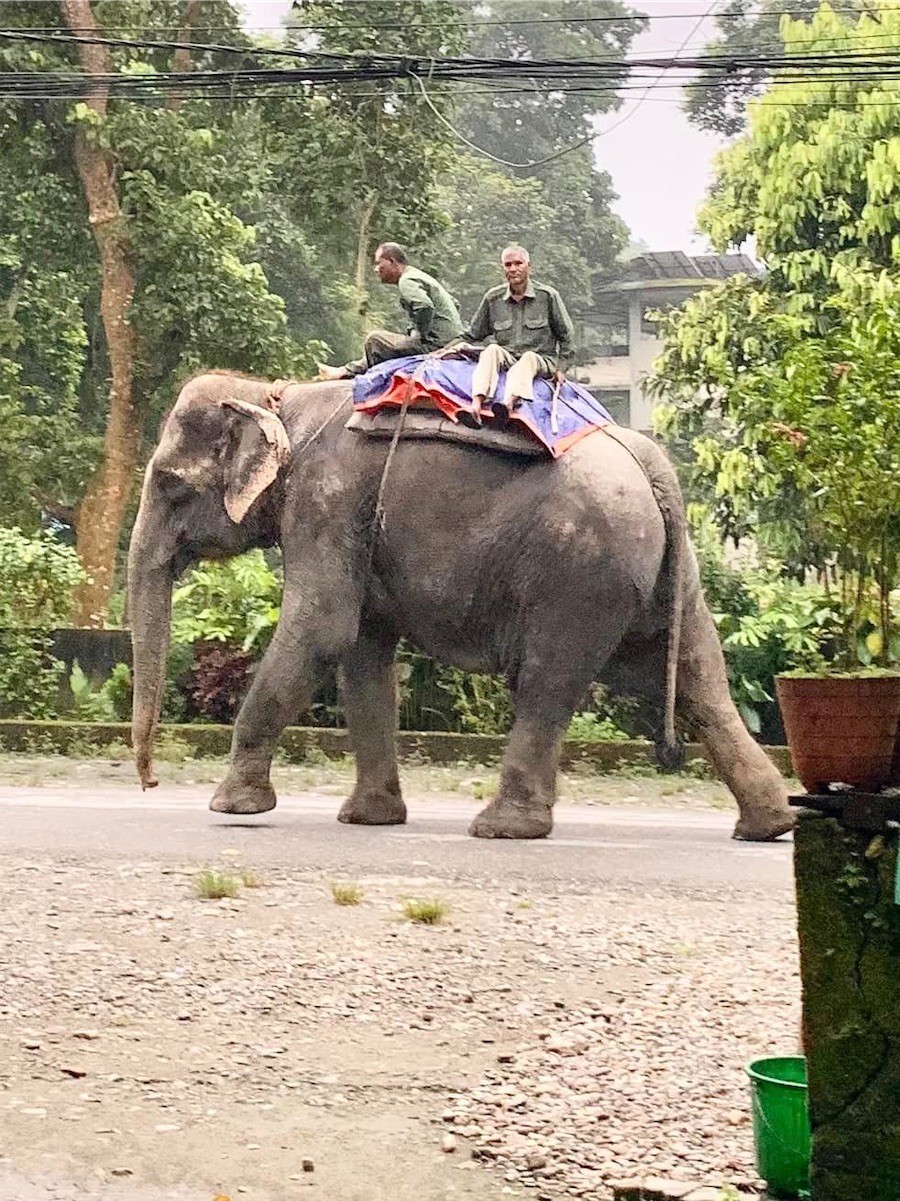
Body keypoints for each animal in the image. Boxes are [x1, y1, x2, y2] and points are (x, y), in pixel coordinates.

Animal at [127, 369, 793, 840]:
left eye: (168, 483)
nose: (151, 782)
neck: (277, 395)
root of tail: (656, 467)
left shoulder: (327, 502)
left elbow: (322, 628)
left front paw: (230, 807)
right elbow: (362, 651)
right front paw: (368, 819)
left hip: (579, 577)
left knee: (549, 683)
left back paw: (503, 828)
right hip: (664, 579)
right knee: (699, 680)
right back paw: (769, 826)